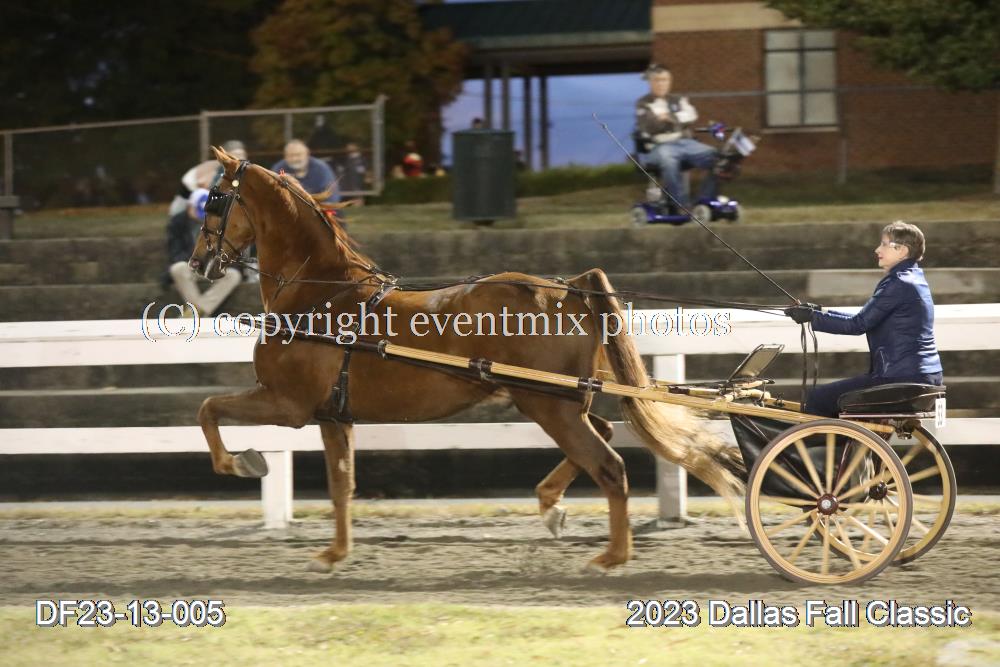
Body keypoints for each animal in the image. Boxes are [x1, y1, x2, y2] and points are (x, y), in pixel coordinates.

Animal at [189, 147, 744, 573]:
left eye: (214, 200)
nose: (197, 263)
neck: (321, 297)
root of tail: (568, 289)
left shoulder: (289, 404)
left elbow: (209, 410)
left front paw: (241, 461)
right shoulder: (332, 415)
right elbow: (341, 483)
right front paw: (335, 553)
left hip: (549, 404)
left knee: (608, 465)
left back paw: (612, 556)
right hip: (563, 399)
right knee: (603, 437)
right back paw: (552, 506)